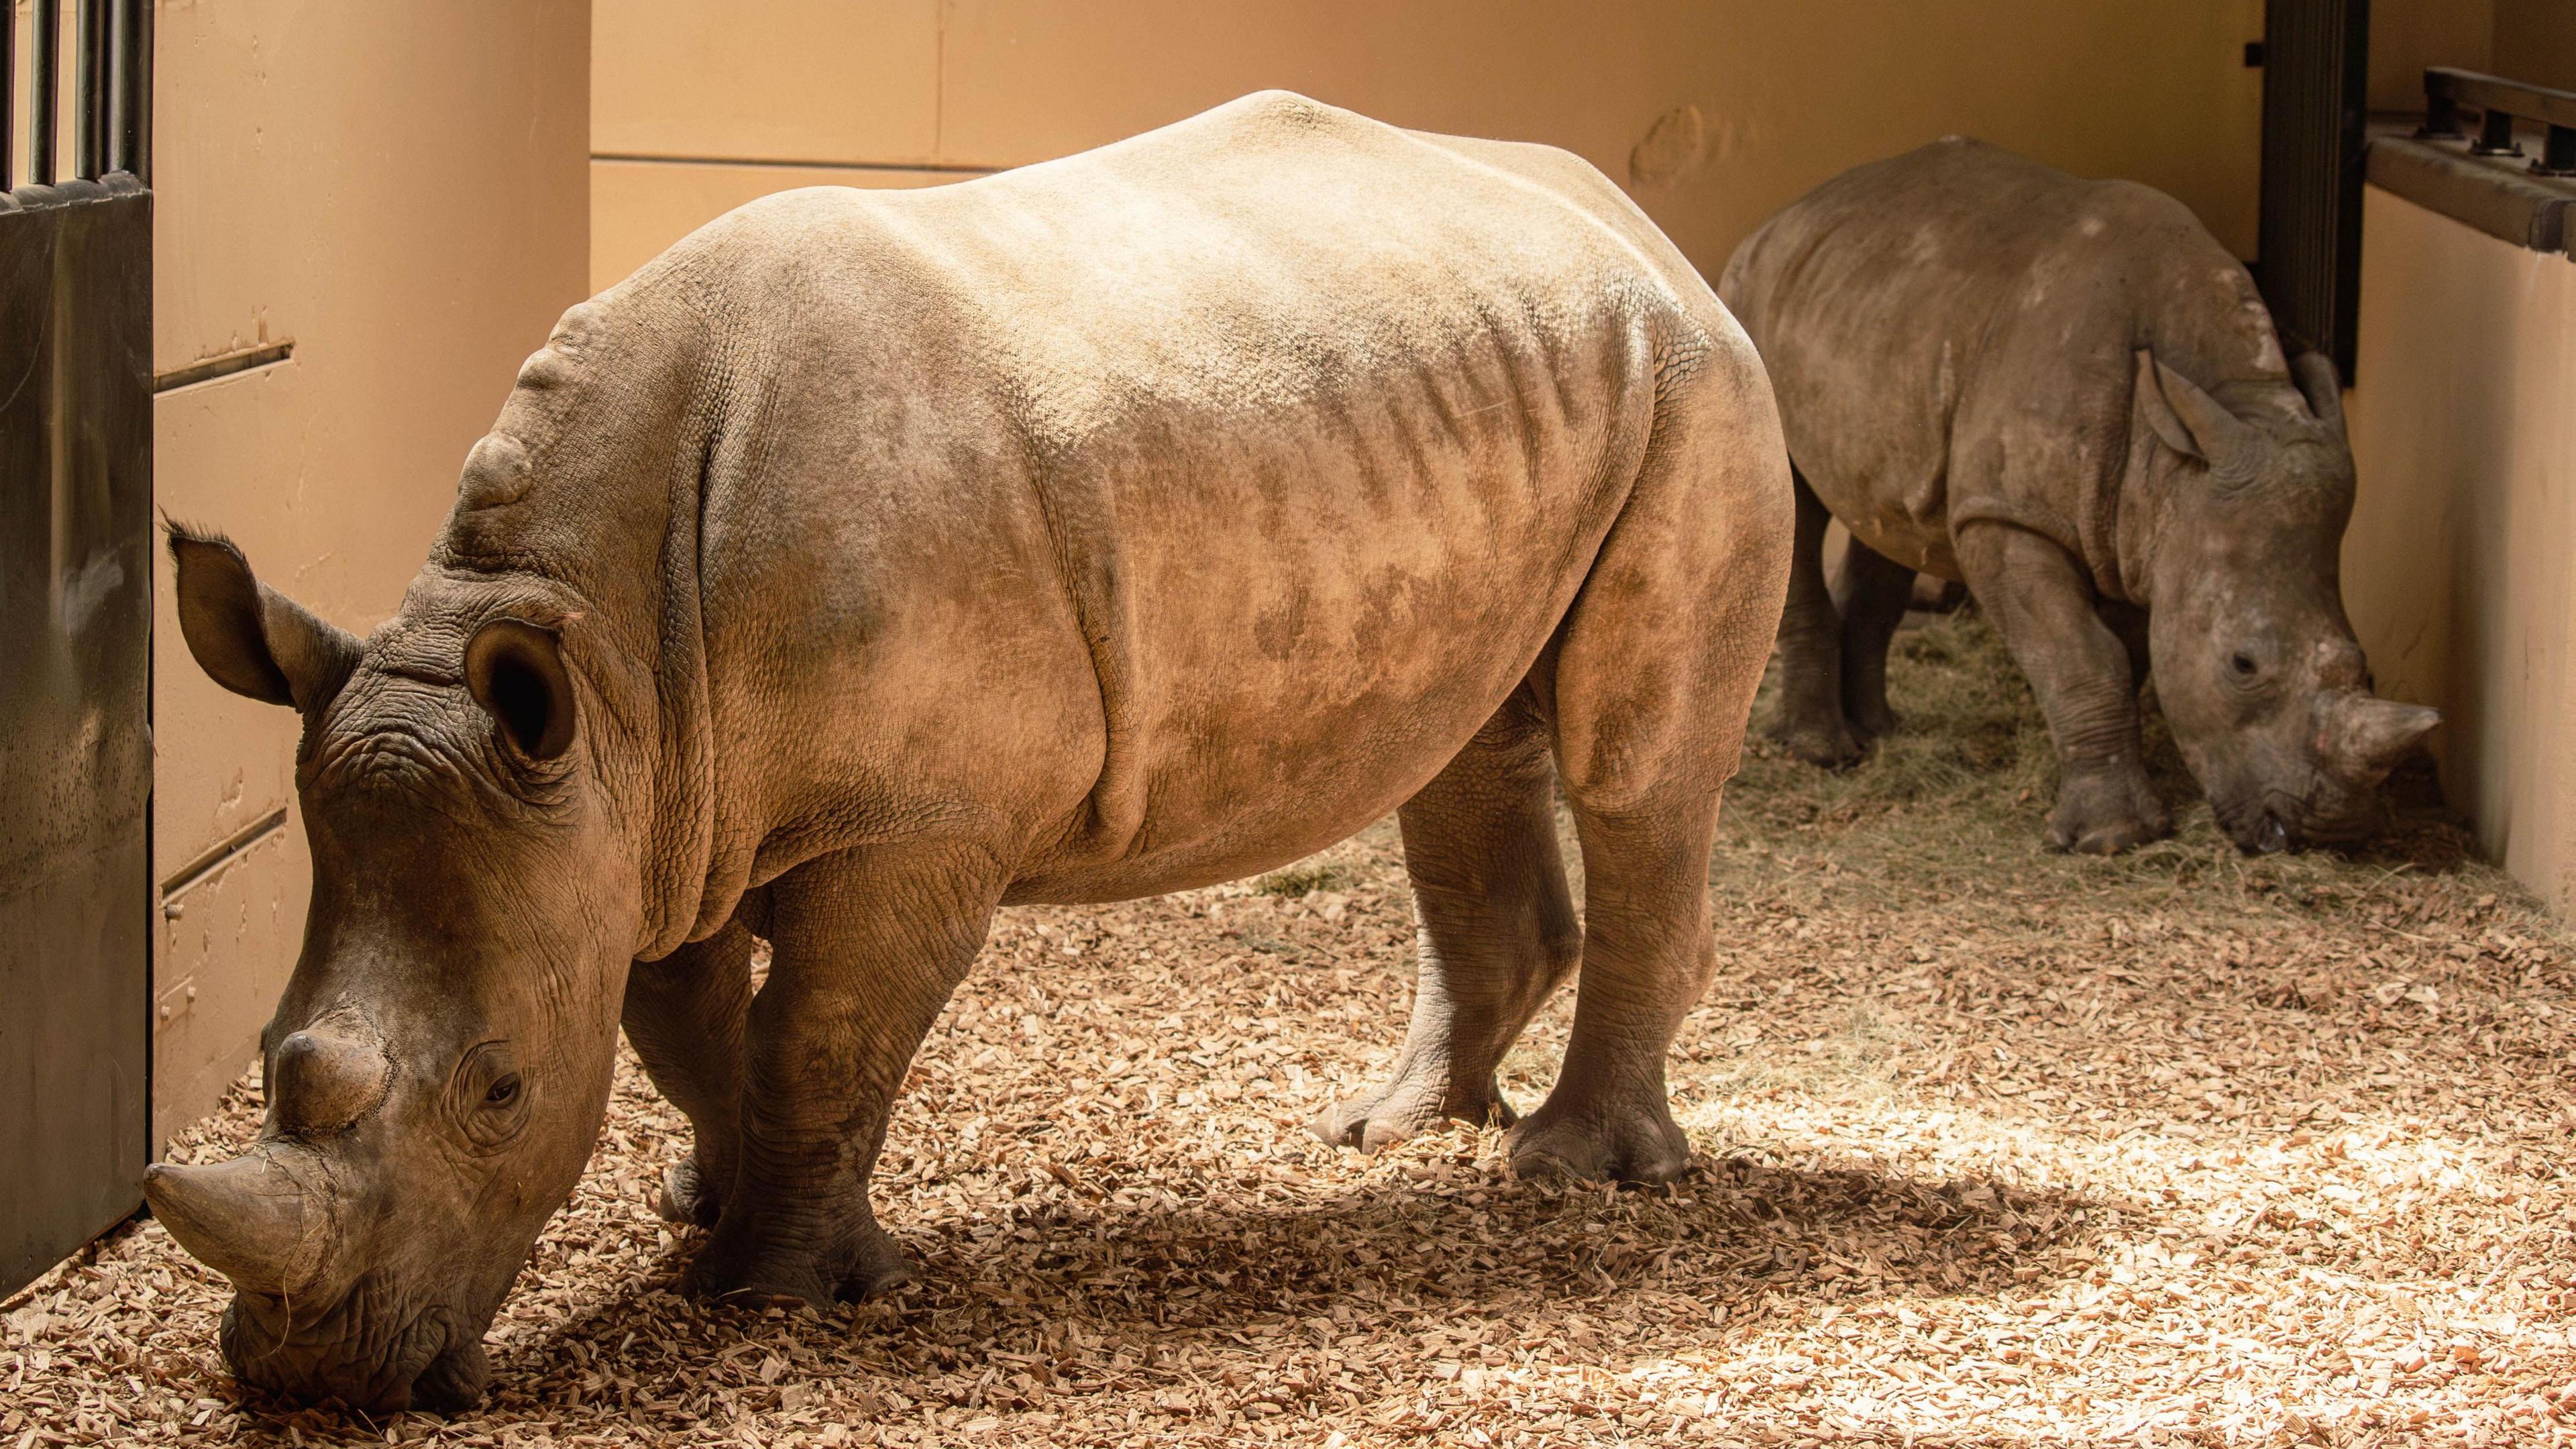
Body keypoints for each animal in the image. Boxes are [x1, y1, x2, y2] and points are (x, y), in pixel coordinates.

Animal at [140, 92, 1792, 1410]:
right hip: (1525, 389)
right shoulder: (649, 806)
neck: (593, 641)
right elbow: (684, 1029)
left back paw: (1574, 1176)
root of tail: (1655, 237)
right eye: (268, 1060)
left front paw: (776, 1295)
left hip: (1699, 396)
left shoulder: (909, 818)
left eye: (498, 1094)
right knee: (1462, 748)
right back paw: (1390, 1133)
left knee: (1633, 766)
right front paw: (707, 1206)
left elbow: (816, 1037)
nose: (309, 1386)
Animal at [1719, 139, 2437, 853]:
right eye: (2242, 664)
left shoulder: (2143, 534)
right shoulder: (2009, 515)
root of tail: (1781, 218)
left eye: (2369, 669)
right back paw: (1819, 753)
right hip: (1750, 308)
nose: (2326, 831)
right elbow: (2083, 655)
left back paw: (1879, 734)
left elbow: (2129, 654)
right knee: (1795, 503)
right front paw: (2111, 839)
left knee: (1890, 516)